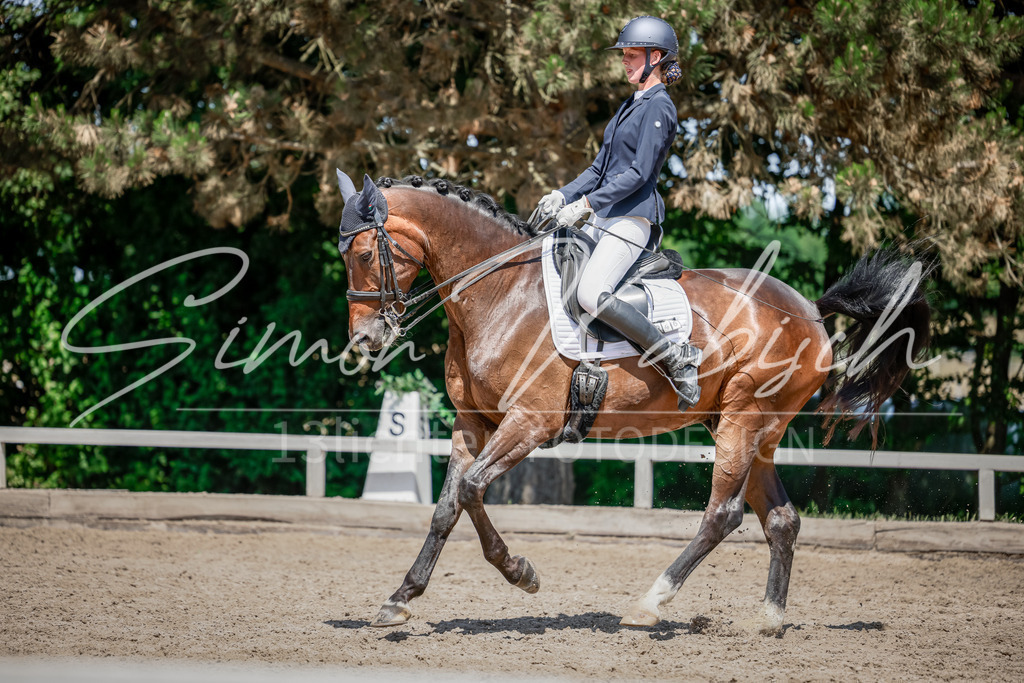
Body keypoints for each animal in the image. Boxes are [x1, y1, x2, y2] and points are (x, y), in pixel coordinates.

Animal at [335, 172, 931, 633]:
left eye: (364, 253)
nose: (365, 339)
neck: (501, 295)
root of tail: (808, 308)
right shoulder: (472, 423)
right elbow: (447, 507)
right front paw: (400, 598)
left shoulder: (529, 423)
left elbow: (472, 490)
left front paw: (520, 572)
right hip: (754, 429)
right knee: (781, 519)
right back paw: (769, 619)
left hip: (744, 419)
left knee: (723, 514)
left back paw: (650, 603)